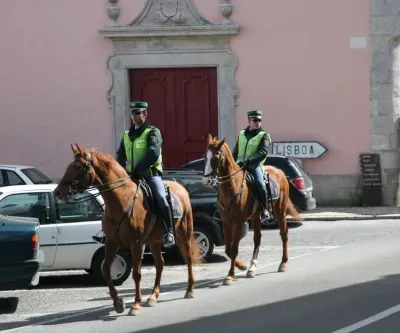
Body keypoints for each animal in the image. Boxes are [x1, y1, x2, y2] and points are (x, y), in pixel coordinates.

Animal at [54, 143, 203, 314]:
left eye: (77, 166)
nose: (57, 192)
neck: (122, 200)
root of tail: (180, 187)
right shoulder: (111, 242)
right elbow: (106, 269)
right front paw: (118, 303)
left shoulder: (136, 243)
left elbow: (136, 272)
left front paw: (136, 304)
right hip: (154, 240)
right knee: (160, 263)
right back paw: (153, 297)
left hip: (184, 233)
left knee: (188, 258)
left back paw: (190, 290)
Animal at [202, 134, 302, 284]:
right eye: (205, 156)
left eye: (216, 156)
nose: (205, 181)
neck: (232, 187)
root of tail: (279, 172)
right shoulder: (226, 222)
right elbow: (228, 249)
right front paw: (242, 266)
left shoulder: (238, 222)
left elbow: (234, 248)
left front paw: (230, 275)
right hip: (256, 217)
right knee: (257, 239)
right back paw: (251, 268)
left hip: (280, 211)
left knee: (284, 234)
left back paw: (283, 263)